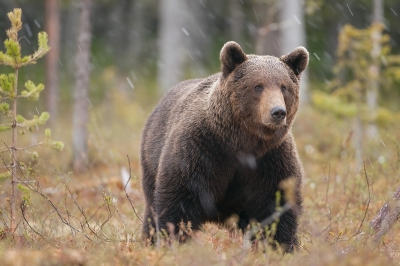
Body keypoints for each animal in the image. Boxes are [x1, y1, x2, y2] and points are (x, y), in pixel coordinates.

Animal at [141, 41, 310, 251]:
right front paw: (176, 242)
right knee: (151, 210)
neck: (241, 142)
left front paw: (279, 246)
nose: (277, 112)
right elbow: (180, 200)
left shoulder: (271, 159)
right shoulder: (201, 149)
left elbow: (276, 204)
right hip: (151, 161)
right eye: (258, 86)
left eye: (284, 87)